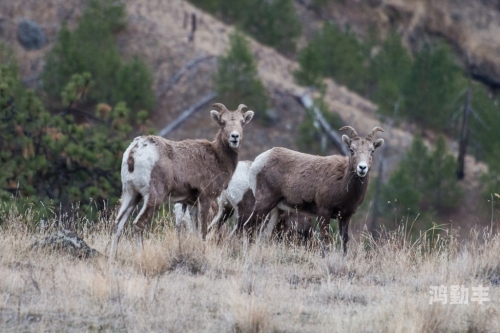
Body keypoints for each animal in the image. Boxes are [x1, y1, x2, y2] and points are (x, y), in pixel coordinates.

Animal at [111, 102, 256, 260]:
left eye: (242, 122)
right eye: (223, 122)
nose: (234, 137)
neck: (218, 158)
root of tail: (134, 151)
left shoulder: (191, 204)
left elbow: (194, 232)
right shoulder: (205, 198)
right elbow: (203, 231)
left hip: (131, 194)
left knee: (118, 224)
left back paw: (111, 257)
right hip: (153, 197)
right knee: (138, 224)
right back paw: (141, 255)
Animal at [248, 126, 384, 253]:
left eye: (372, 151)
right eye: (352, 150)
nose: (362, 168)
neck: (343, 185)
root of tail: (259, 160)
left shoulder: (345, 216)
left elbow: (344, 242)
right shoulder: (324, 212)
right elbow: (325, 241)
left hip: (276, 210)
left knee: (263, 235)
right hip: (265, 202)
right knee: (249, 225)